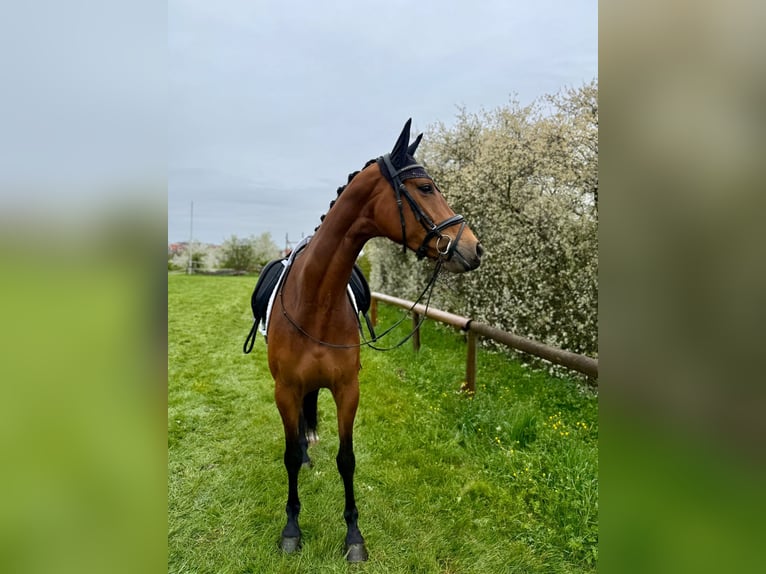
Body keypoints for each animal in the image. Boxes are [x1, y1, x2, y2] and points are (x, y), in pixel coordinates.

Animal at [264, 119, 483, 561]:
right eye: (426, 188)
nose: (473, 247)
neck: (316, 298)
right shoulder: (286, 389)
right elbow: (290, 456)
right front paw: (291, 528)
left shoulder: (348, 389)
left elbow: (346, 459)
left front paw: (354, 536)